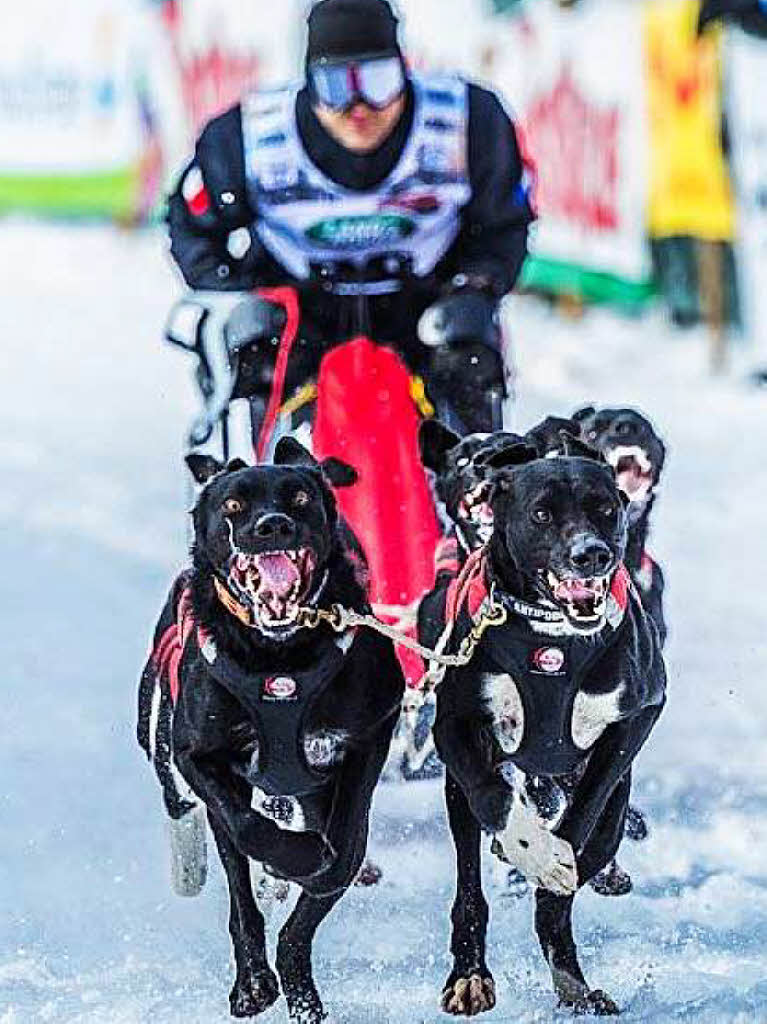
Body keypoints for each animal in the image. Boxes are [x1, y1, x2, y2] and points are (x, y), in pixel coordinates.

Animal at [138, 440, 403, 1024]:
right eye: (234, 506)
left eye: (300, 497)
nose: (272, 526)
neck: (278, 659)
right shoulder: (200, 755)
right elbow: (248, 830)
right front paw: (294, 859)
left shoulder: (368, 737)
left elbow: (341, 854)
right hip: (165, 747)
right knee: (213, 843)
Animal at [430, 436, 663, 1011]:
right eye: (541, 514)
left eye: (605, 508)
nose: (590, 553)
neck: (549, 640)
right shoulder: (455, 729)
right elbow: (492, 797)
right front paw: (532, 848)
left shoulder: (636, 717)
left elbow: (584, 816)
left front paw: (558, 858)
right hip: (457, 797)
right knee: (470, 883)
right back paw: (471, 973)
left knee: (593, 842)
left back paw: (572, 977)